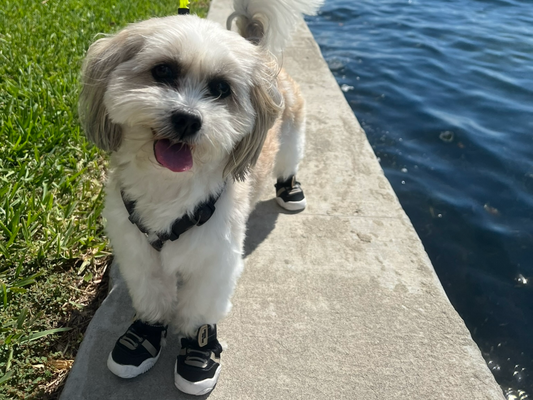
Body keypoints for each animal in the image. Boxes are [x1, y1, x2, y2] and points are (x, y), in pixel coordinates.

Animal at [77, 0, 320, 394]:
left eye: (221, 89)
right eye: (163, 71)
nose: (188, 119)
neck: (168, 184)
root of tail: (262, 56)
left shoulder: (215, 259)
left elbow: (201, 309)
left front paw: (198, 350)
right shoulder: (137, 251)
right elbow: (152, 296)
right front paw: (145, 335)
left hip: (292, 133)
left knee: (289, 161)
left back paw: (290, 188)